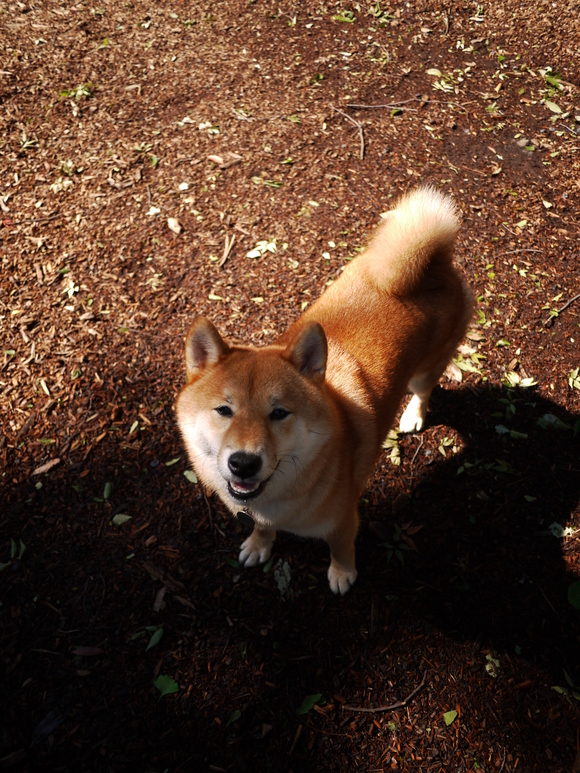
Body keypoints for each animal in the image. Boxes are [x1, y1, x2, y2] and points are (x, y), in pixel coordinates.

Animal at [176, 185, 472, 592]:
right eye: (224, 410)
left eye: (279, 413)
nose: (244, 463)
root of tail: (433, 265)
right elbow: (262, 531)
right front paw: (259, 544)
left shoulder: (344, 520)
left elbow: (341, 549)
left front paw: (342, 574)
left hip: (426, 370)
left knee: (425, 391)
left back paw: (413, 414)